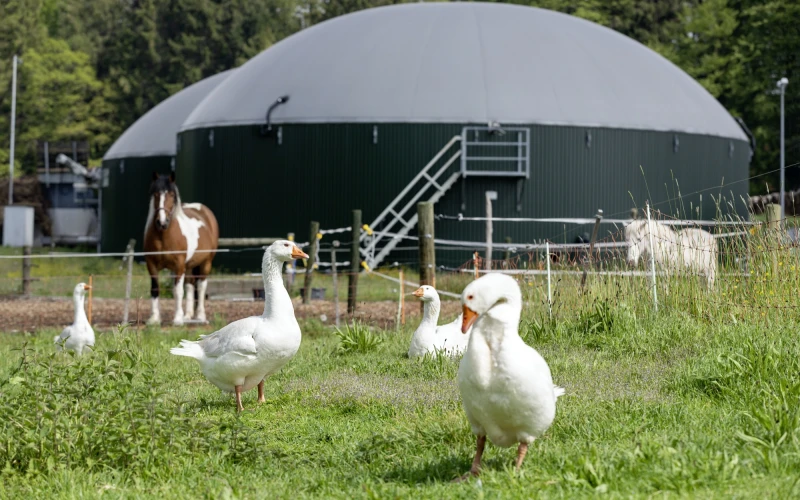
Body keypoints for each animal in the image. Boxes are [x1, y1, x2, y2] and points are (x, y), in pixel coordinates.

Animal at [144, 172, 219, 325]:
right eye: (155, 194)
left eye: (172, 195)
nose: (162, 222)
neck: (163, 236)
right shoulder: (151, 265)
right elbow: (155, 289)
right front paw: (154, 319)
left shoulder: (178, 266)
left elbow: (178, 291)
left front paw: (177, 319)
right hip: (189, 265)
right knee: (190, 285)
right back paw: (188, 316)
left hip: (206, 263)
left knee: (201, 286)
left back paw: (200, 316)